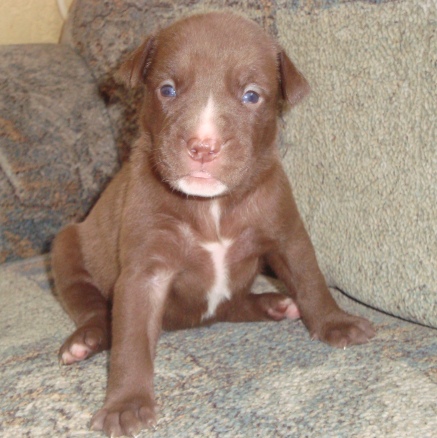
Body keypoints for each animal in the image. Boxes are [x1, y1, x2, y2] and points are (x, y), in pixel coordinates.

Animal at [52, 12, 375, 437]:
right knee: (90, 305)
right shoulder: (146, 268)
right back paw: (85, 341)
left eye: (251, 95)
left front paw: (336, 322)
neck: (213, 206)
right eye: (167, 89)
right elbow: (131, 341)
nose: (203, 146)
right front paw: (126, 404)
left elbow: (310, 281)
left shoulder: (286, 234)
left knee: (231, 306)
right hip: (66, 246)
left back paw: (274, 304)